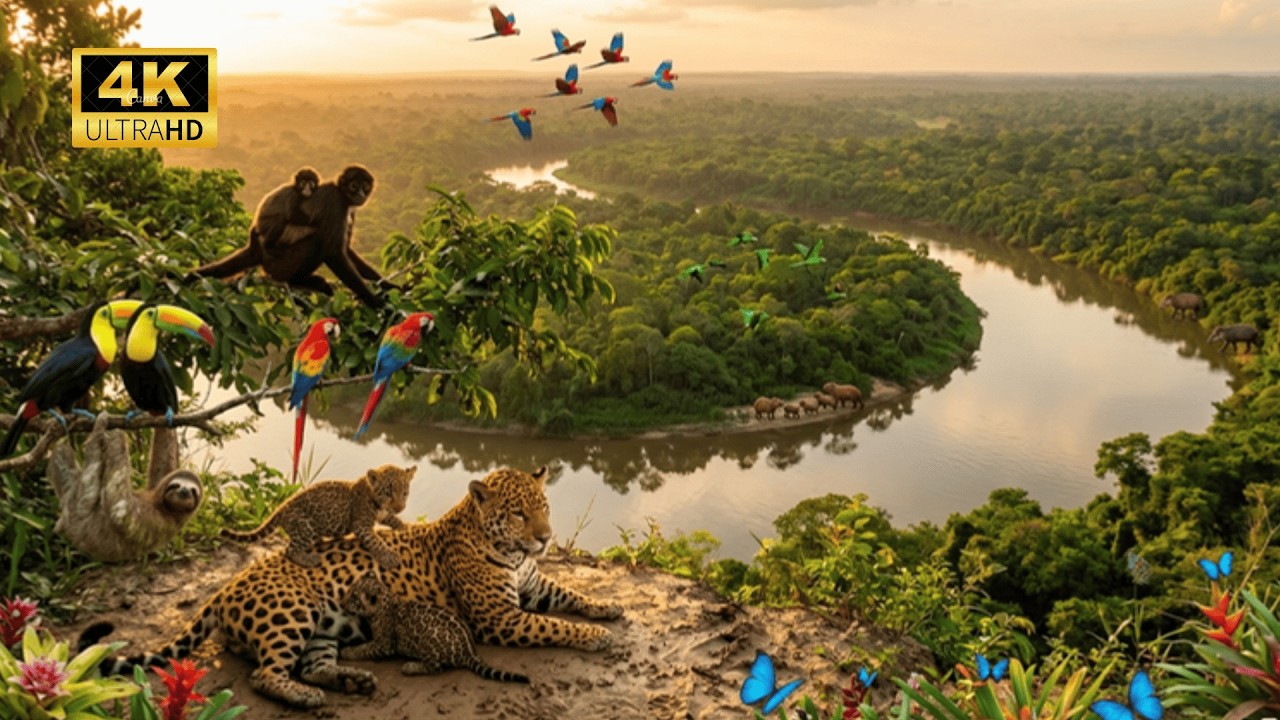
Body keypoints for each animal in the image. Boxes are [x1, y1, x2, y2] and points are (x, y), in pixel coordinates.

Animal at [45, 414, 202, 562]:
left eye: (193, 491)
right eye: (176, 485)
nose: (184, 491)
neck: (165, 508)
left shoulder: (157, 521)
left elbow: (121, 511)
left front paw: (116, 434)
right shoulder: (157, 486)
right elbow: (164, 460)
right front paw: (166, 415)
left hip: (79, 510)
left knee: (89, 476)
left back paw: (98, 431)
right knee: (62, 453)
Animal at [188, 165, 389, 309]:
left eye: (365, 187)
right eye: (354, 186)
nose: (361, 194)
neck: (342, 194)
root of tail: (259, 250)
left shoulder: (350, 210)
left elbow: (346, 249)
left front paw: (389, 287)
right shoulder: (335, 203)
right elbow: (334, 253)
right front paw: (375, 302)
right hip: (280, 265)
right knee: (317, 240)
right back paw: (298, 281)